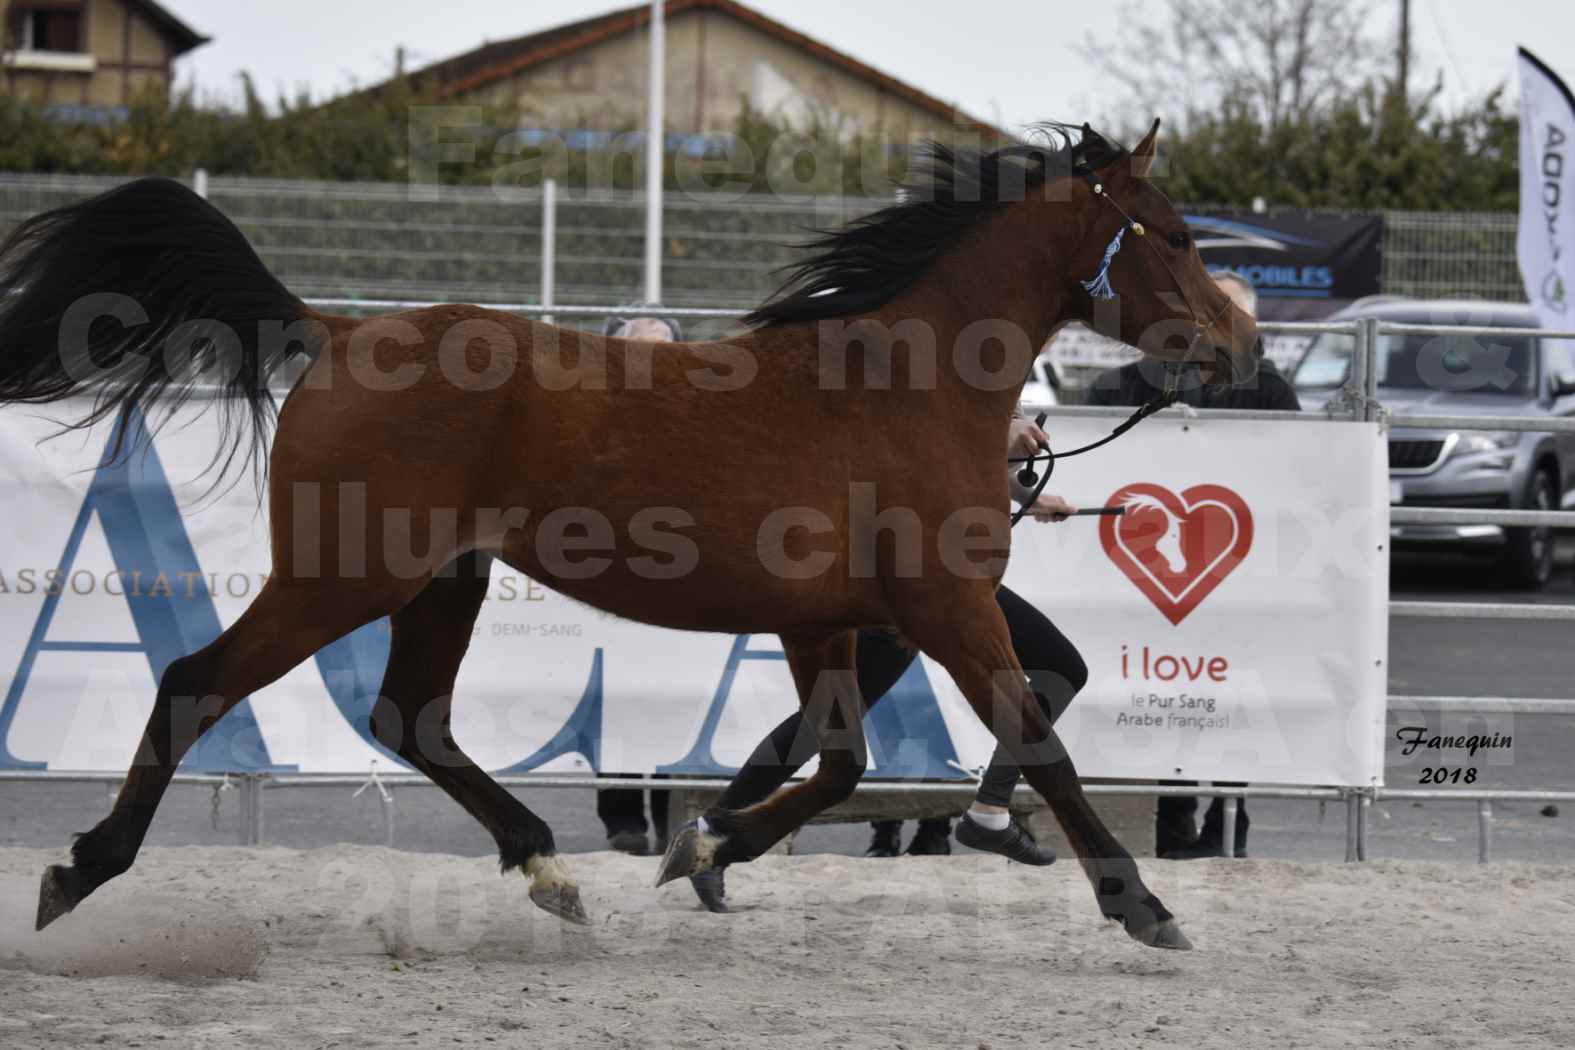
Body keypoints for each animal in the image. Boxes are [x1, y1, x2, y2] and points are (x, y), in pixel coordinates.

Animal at [0, 118, 1253, 950]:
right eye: (1176, 235)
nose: (1240, 346)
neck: (901, 386)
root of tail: (340, 330)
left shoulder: (826, 623)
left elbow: (838, 761)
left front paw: (707, 848)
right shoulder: (947, 609)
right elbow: (1038, 741)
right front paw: (1145, 907)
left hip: (442, 582)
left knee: (411, 718)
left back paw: (551, 873)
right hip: (342, 577)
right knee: (196, 683)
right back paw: (79, 873)